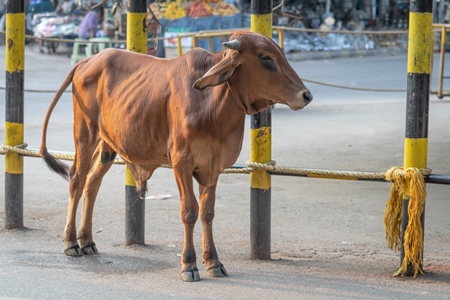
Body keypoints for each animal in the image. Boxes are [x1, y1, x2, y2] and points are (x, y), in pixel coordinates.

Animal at [39, 31, 312, 282]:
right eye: (265, 57)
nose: (306, 95)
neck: (211, 103)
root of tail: (87, 61)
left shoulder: (214, 166)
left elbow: (207, 212)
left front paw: (213, 262)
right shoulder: (182, 162)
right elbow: (189, 211)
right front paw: (189, 265)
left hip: (108, 144)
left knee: (92, 183)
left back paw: (87, 241)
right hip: (85, 134)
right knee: (76, 180)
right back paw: (71, 243)